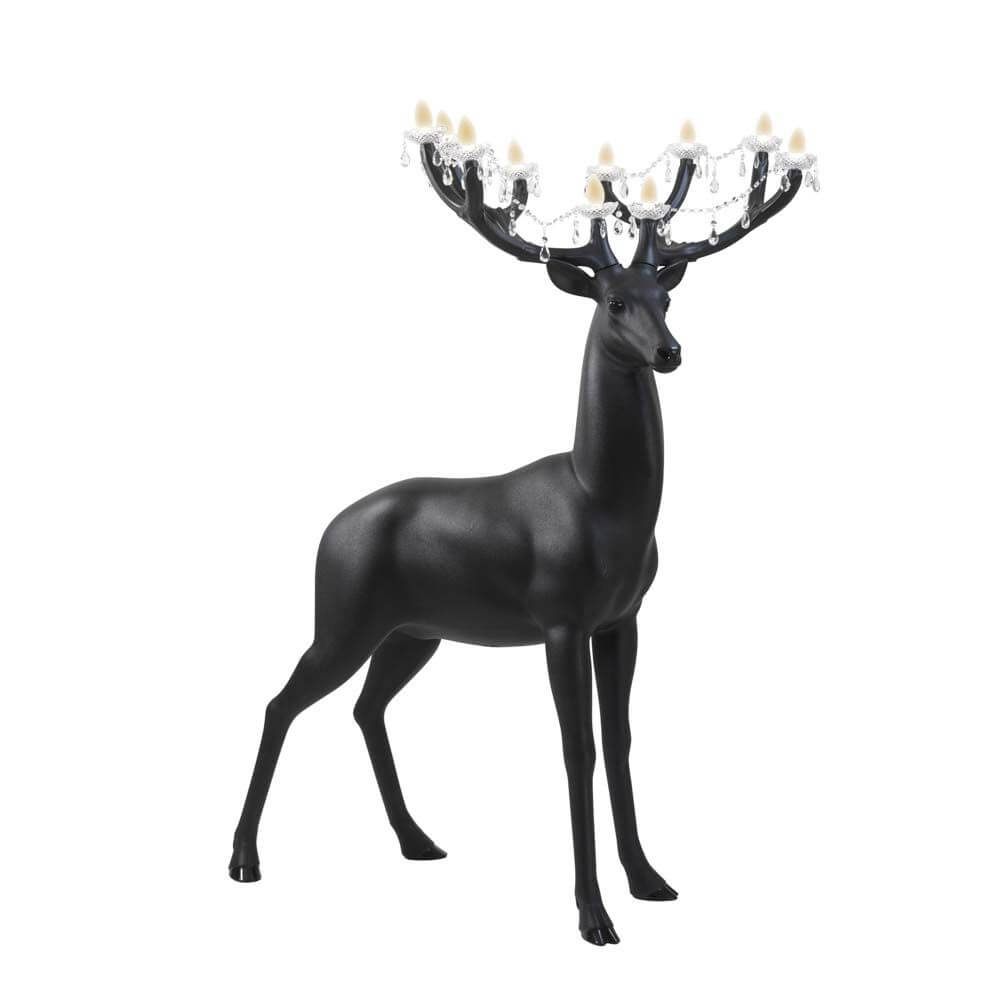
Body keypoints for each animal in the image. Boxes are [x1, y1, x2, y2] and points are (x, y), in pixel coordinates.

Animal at [229, 131, 803, 945]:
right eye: (614, 303)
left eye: (666, 297)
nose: (669, 351)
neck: (604, 504)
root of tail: (328, 531)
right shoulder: (560, 618)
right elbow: (576, 747)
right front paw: (593, 915)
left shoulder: (623, 618)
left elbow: (621, 739)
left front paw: (649, 880)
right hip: (341, 617)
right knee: (281, 703)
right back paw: (244, 859)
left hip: (414, 632)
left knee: (366, 708)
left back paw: (418, 840)